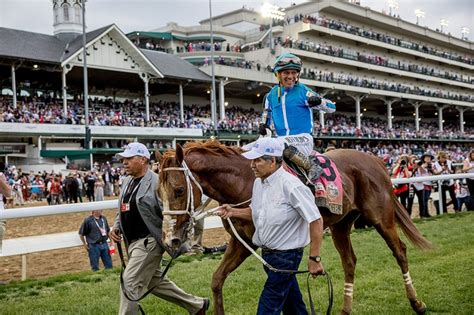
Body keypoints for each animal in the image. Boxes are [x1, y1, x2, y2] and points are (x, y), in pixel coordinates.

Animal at [157, 141, 432, 315]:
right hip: (342, 224)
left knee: (400, 251)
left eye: (179, 190)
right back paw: (344, 309)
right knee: (350, 262)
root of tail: (375, 160)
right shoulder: (241, 241)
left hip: (381, 218)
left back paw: (417, 303)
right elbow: (217, 280)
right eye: (159, 193)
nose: (170, 240)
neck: (247, 180)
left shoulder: (253, 243)